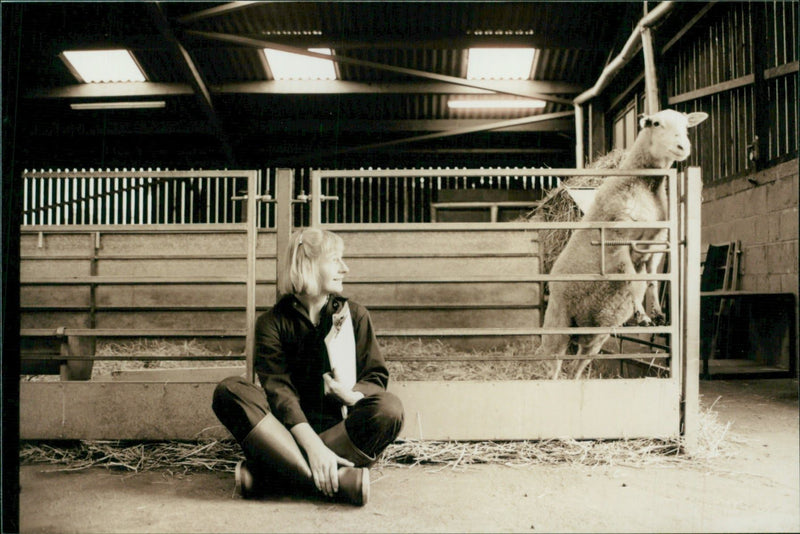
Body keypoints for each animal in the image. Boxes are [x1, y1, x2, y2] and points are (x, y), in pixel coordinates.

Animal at [544, 110, 708, 382]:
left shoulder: (655, 242)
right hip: (558, 322)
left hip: (596, 337)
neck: (645, 187)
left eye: (687, 126)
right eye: (656, 123)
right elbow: (632, 278)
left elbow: (652, 278)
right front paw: (641, 314)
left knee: (576, 366)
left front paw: (657, 311)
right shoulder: (617, 239)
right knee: (552, 365)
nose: (682, 147)